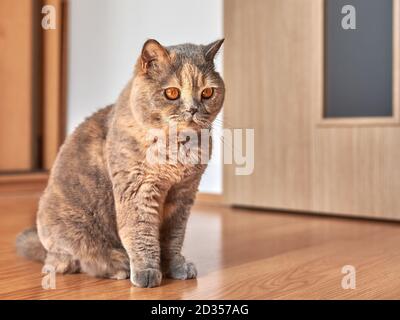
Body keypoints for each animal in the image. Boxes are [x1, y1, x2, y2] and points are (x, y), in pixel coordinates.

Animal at [15, 38, 225, 288]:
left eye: (207, 92)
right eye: (172, 93)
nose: (193, 109)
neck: (177, 148)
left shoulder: (183, 194)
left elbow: (173, 237)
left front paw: (175, 267)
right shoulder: (138, 190)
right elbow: (141, 233)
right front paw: (147, 272)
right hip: (72, 231)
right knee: (78, 261)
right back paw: (118, 265)